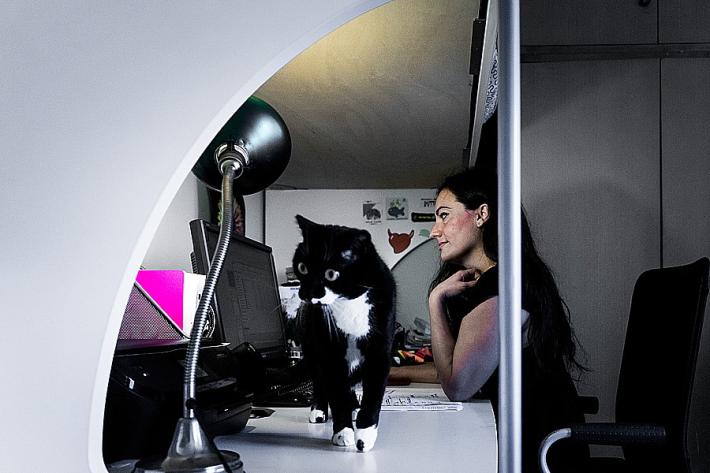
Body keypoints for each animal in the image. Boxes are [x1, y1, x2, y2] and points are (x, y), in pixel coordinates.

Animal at [292, 215, 396, 452]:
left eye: (331, 274)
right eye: (302, 267)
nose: (305, 293)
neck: (348, 302)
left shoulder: (380, 349)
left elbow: (374, 392)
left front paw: (364, 436)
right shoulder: (329, 350)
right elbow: (336, 392)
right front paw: (343, 432)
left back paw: (355, 408)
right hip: (311, 348)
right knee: (321, 381)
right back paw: (319, 410)